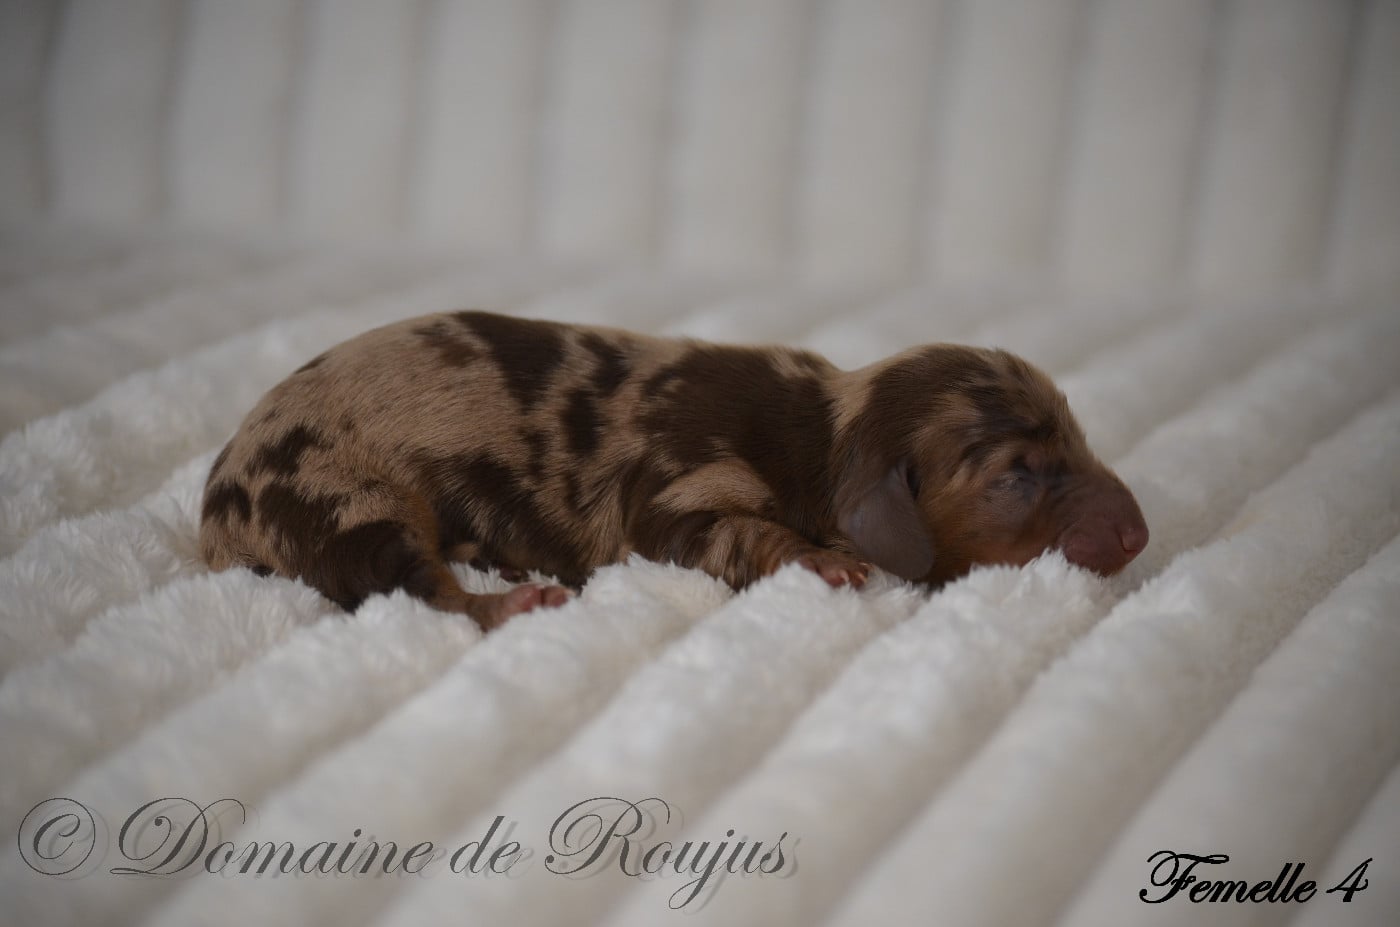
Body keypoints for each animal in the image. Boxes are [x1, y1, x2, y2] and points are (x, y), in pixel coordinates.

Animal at [200, 311, 1148, 629]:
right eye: (1018, 473)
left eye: (1076, 436)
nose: (1142, 534)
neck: (831, 430)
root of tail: (214, 513)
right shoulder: (681, 486)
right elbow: (722, 532)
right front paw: (826, 561)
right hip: (337, 494)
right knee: (404, 583)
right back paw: (508, 599)